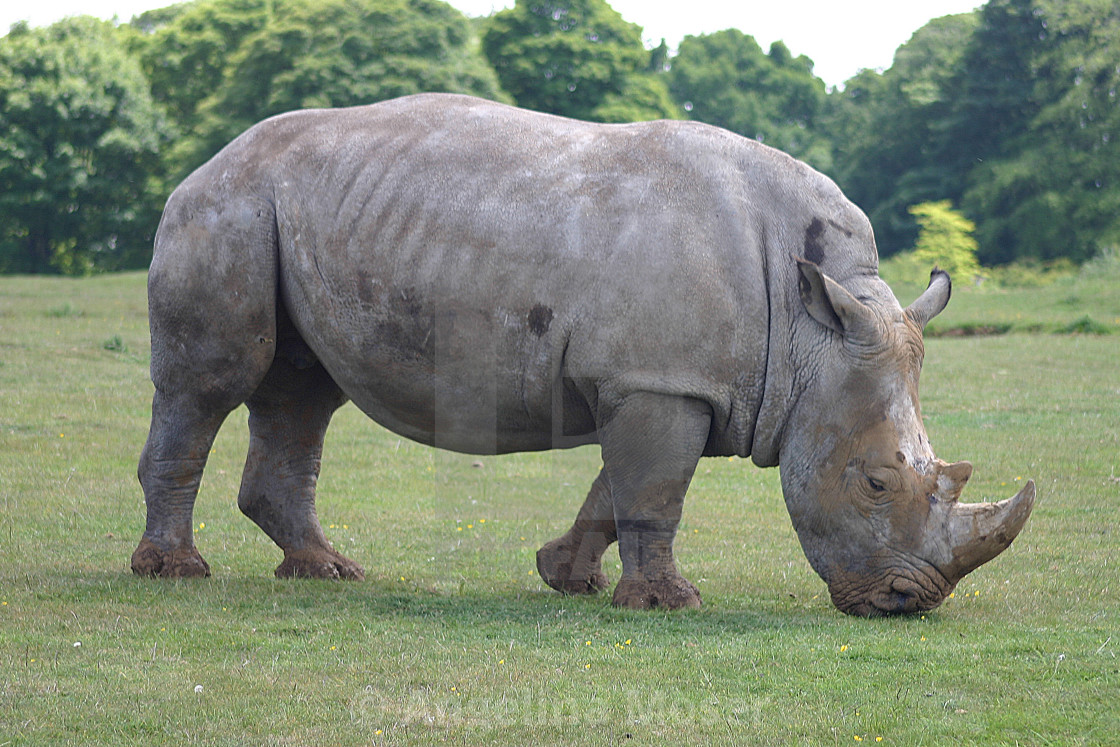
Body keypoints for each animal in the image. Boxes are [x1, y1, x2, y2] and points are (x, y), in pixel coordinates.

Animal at [131, 93, 1030, 618]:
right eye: (875, 483)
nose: (911, 600)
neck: (816, 331)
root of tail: (208, 157)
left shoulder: (657, 379)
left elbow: (618, 486)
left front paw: (568, 578)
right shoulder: (662, 381)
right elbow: (656, 492)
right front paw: (667, 604)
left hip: (283, 211)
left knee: (301, 391)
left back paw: (326, 572)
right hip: (228, 207)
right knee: (212, 385)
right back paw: (176, 573)